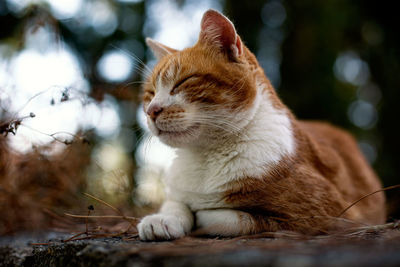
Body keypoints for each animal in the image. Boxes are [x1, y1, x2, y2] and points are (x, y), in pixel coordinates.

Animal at [137, 9, 384, 241]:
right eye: (150, 94)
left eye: (183, 82)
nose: (151, 111)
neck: (205, 157)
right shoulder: (177, 192)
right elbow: (175, 203)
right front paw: (162, 219)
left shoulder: (328, 215)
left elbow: (230, 217)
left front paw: (201, 212)